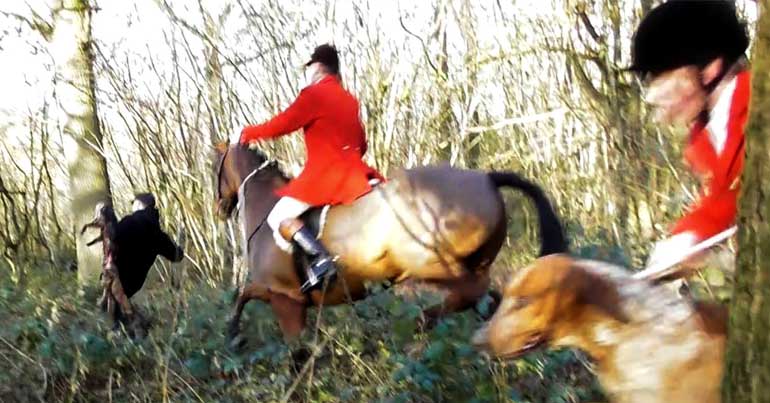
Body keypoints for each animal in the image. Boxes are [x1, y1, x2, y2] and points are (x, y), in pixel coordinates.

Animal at [212, 144, 564, 348]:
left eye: (216, 164)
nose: (220, 208)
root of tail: (487, 178)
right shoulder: (277, 293)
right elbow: (244, 294)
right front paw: (233, 333)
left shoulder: (287, 299)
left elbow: (294, 351)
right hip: (472, 261)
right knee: (488, 298)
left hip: (434, 263)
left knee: (473, 294)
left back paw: (421, 324)